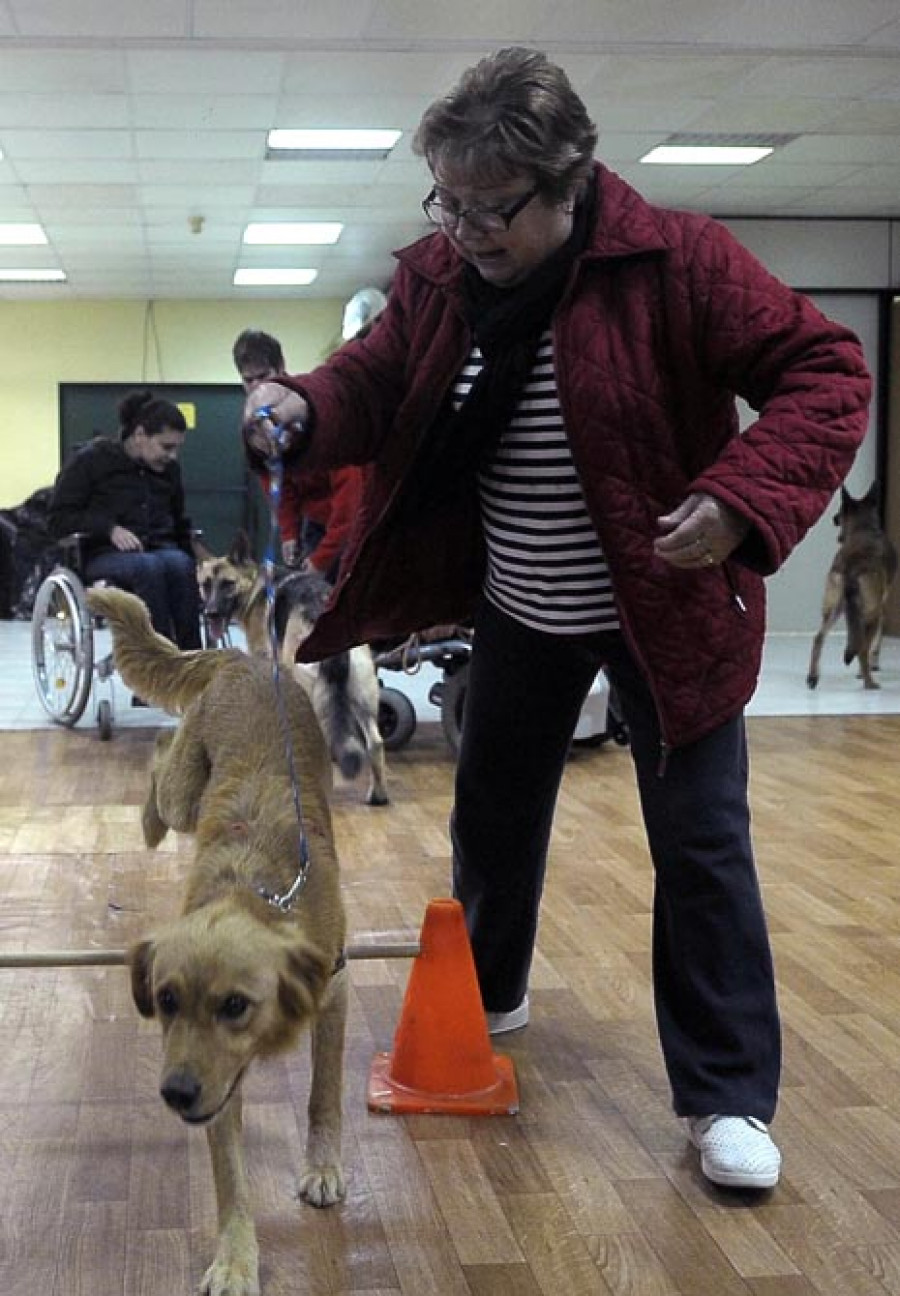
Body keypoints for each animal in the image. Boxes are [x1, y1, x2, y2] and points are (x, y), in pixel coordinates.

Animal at [87, 590, 350, 1296]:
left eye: (235, 1005)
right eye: (165, 1001)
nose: (175, 1094)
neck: (257, 894)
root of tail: (246, 659)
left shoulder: (334, 996)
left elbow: (323, 1092)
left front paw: (323, 1165)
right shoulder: (218, 1092)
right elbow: (231, 1179)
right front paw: (236, 1258)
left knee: (159, 757)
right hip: (186, 787)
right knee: (160, 763)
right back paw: (149, 815)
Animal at [197, 533, 389, 798]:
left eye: (227, 584)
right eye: (206, 585)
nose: (210, 613)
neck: (256, 586)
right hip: (362, 693)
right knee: (375, 743)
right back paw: (377, 795)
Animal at [809, 484, 897, 689]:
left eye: (839, 515)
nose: (834, 518)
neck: (864, 528)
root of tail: (852, 566)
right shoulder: (878, 610)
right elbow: (871, 644)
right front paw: (867, 669)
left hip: (834, 608)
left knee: (819, 638)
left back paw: (813, 677)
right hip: (870, 613)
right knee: (863, 647)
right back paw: (869, 682)